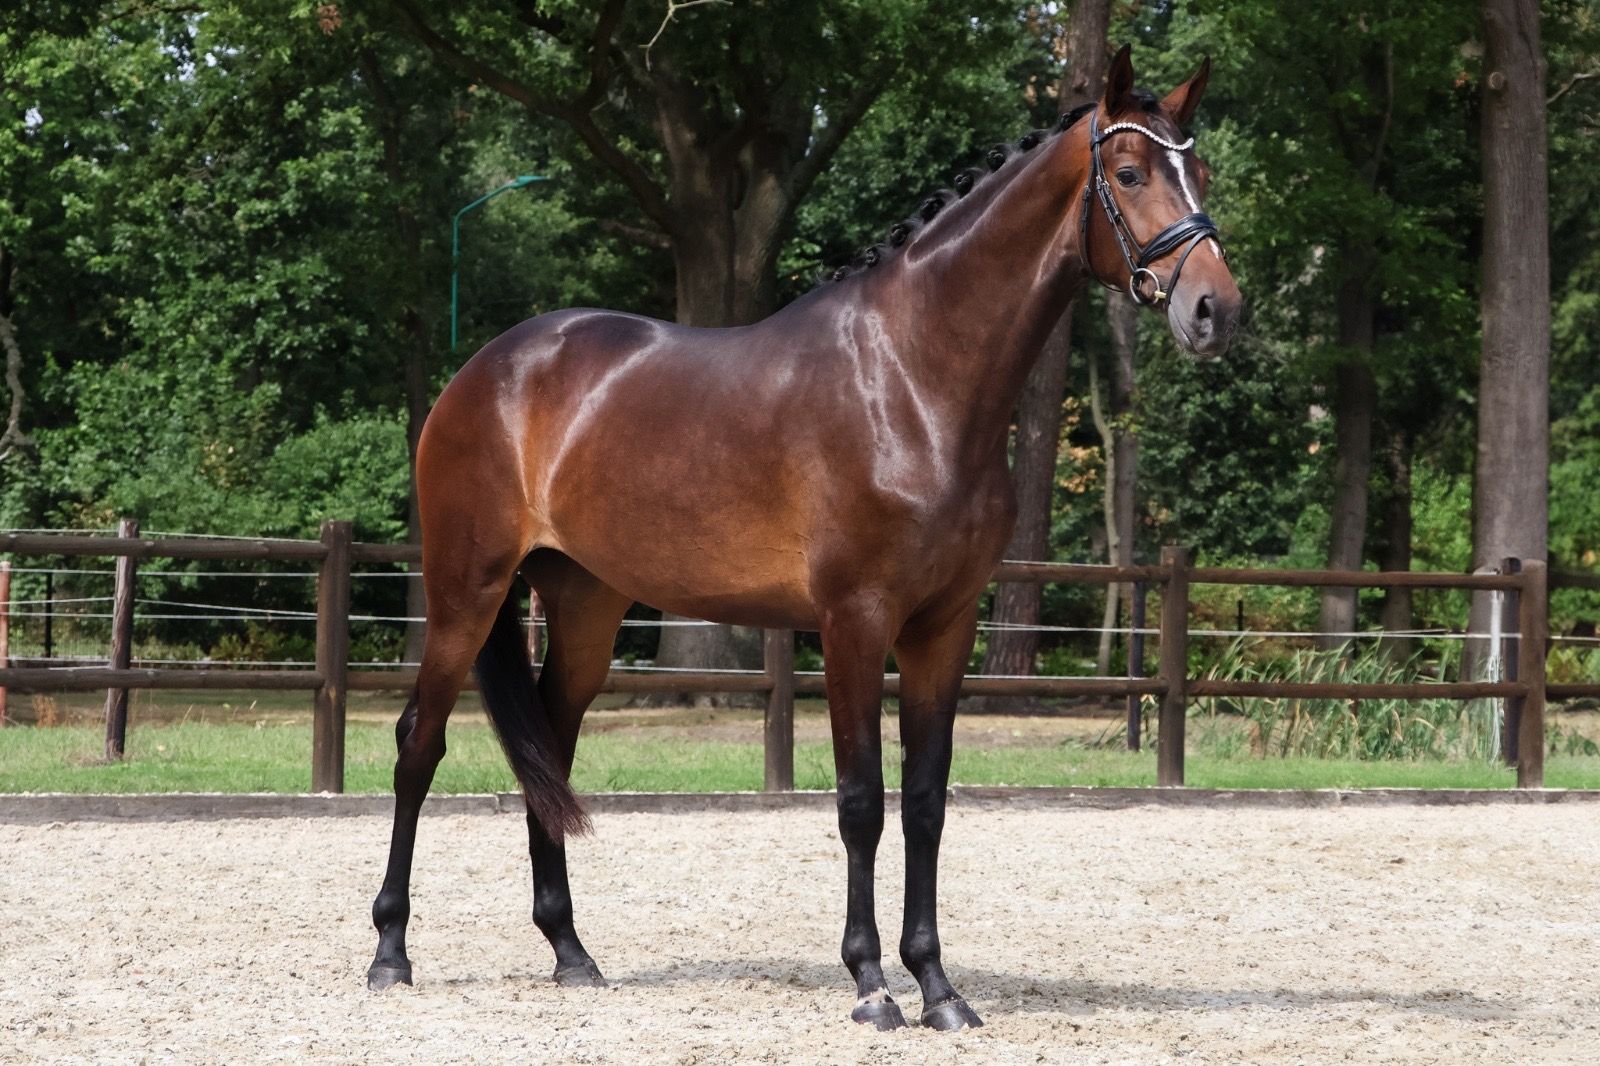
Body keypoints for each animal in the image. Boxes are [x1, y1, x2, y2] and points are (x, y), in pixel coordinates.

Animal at [366, 45, 1240, 1031]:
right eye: (1129, 174)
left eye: (1201, 174)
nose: (1217, 310)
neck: (911, 375)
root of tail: (483, 372)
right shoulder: (854, 621)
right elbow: (861, 800)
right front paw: (871, 985)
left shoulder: (944, 627)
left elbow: (926, 800)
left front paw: (939, 988)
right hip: (465, 592)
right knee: (418, 745)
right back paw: (391, 953)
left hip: (586, 604)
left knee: (549, 750)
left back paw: (571, 952)